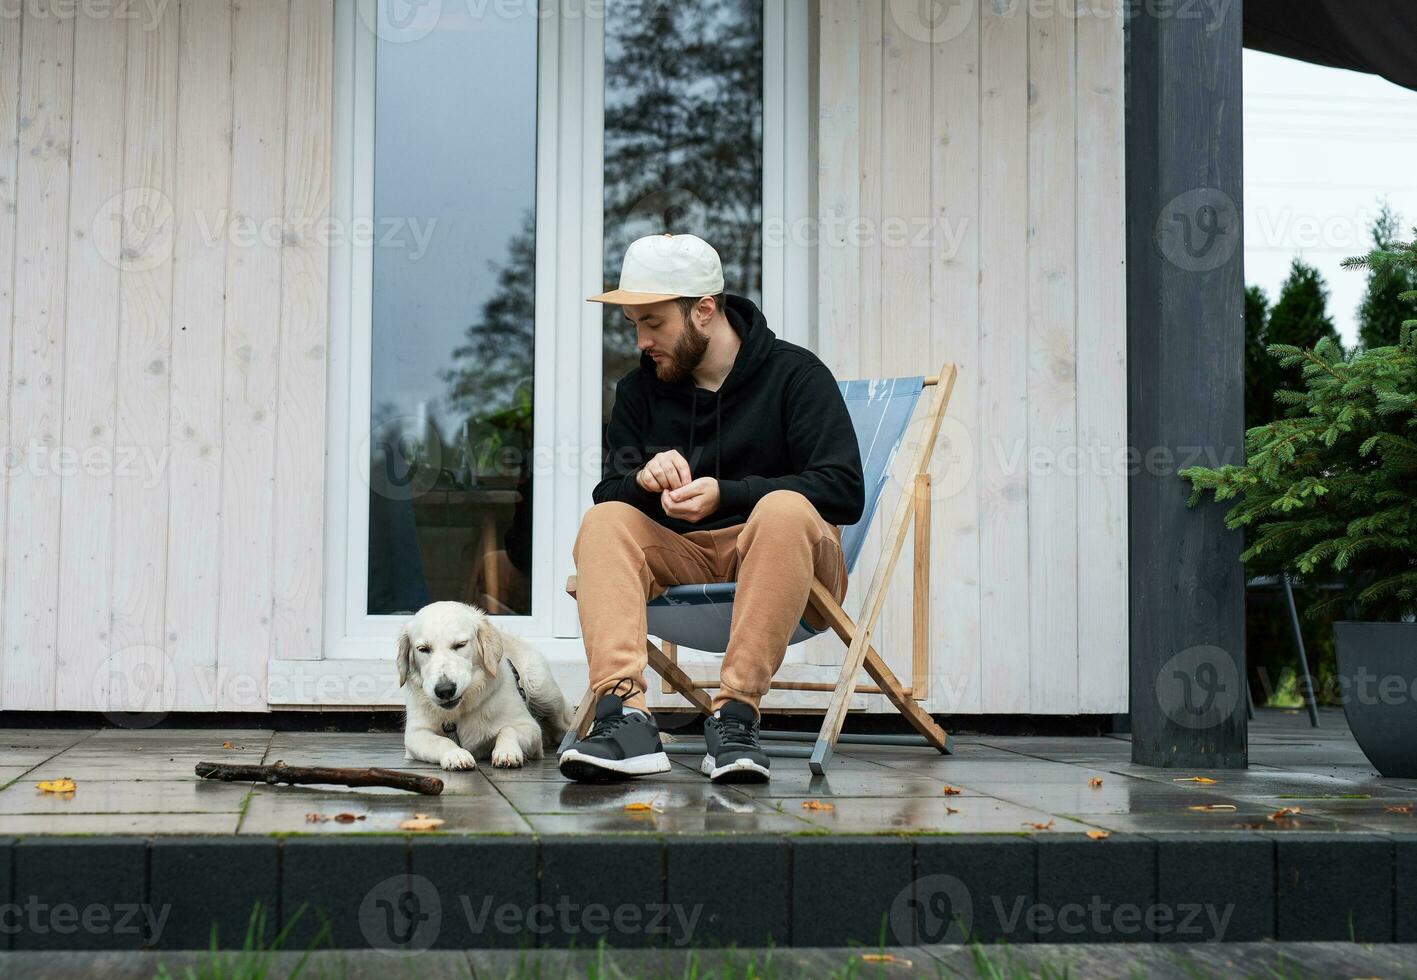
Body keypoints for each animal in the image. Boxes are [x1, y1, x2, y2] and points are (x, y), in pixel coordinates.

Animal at [396, 600, 572, 770]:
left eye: (460, 644)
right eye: (423, 649)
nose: (445, 690)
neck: (462, 708)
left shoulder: (530, 727)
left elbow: (508, 729)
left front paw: (506, 752)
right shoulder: (415, 734)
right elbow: (441, 741)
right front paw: (455, 754)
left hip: (543, 692)